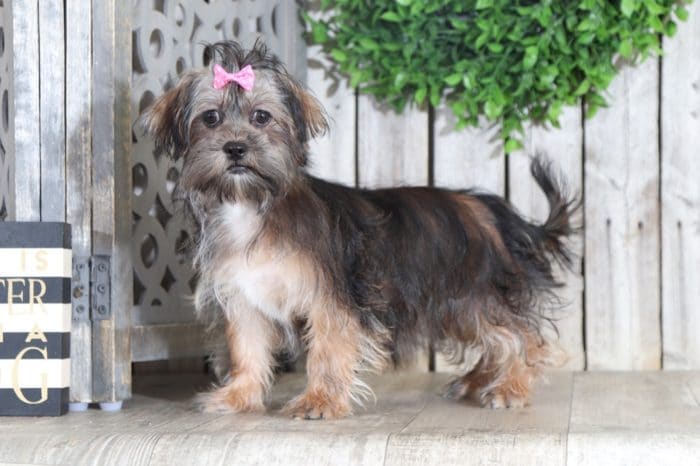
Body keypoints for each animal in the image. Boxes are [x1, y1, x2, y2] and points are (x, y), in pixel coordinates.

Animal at [139, 40, 576, 418]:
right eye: (210, 118)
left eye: (261, 117)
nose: (234, 148)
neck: (252, 204)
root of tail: (490, 210)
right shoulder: (245, 297)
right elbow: (246, 349)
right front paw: (239, 396)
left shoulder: (331, 298)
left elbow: (327, 351)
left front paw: (319, 401)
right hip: (459, 305)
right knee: (498, 339)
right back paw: (477, 382)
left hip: (476, 294)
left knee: (522, 337)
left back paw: (511, 387)